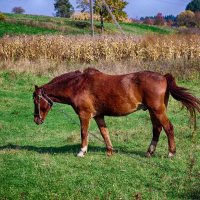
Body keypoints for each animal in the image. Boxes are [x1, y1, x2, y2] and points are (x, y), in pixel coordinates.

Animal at [32, 69, 200, 158]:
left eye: (35, 100)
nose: (36, 120)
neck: (78, 85)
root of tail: (163, 77)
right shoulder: (98, 116)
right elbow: (104, 132)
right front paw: (109, 151)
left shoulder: (84, 115)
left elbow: (84, 133)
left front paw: (82, 151)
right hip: (153, 112)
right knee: (157, 129)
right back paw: (149, 152)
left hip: (157, 111)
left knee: (168, 128)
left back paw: (171, 153)